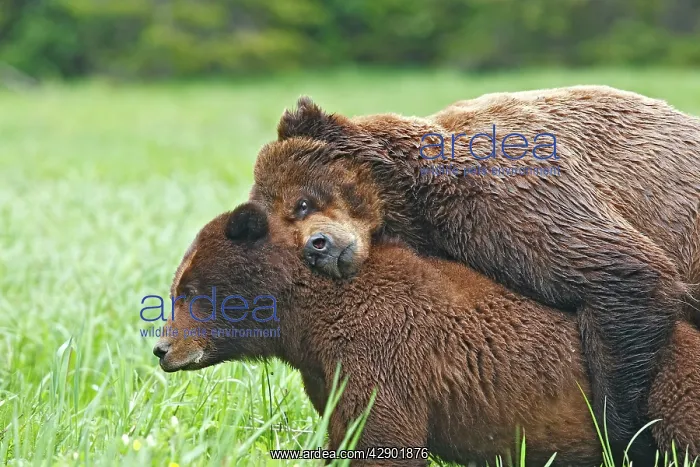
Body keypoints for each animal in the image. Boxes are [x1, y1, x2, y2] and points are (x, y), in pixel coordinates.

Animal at [153, 202, 700, 466]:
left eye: (189, 289)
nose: (162, 349)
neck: (306, 323)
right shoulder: (329, 373)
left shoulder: (383, 354)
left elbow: (384, 438)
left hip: (667, 393)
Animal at [249, 86, 700, 453]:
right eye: (281, 225)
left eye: (301, 202)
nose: (318, 247)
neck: (411, 196)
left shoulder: (501, 194)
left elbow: (621, 271)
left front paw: (621, 439)